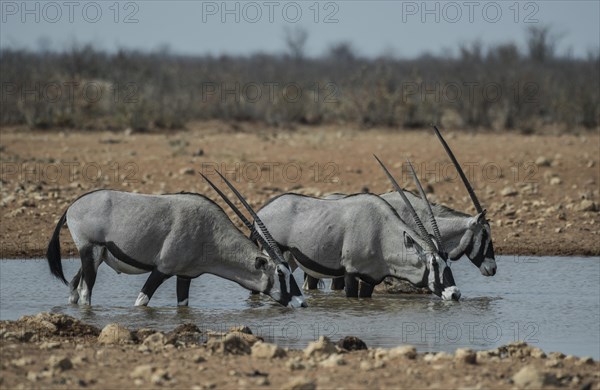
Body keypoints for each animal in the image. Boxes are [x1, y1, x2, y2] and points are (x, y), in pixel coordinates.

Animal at [46, 178, 308, 310]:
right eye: (280, 273)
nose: (301, 302)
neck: (209, 232)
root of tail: (71, 207)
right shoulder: (161, 270)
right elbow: (141, 301)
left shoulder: (185, 276)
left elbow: (183, 306)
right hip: (90, 251)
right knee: (85, 292)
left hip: (95, 256)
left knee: (74, 286)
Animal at [252, 155, 460, 298]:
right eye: (433, 263)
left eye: (448, 263)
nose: (455, 294)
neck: (382, 234)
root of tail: (262, 211)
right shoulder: (350, 273)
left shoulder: (370, 279)